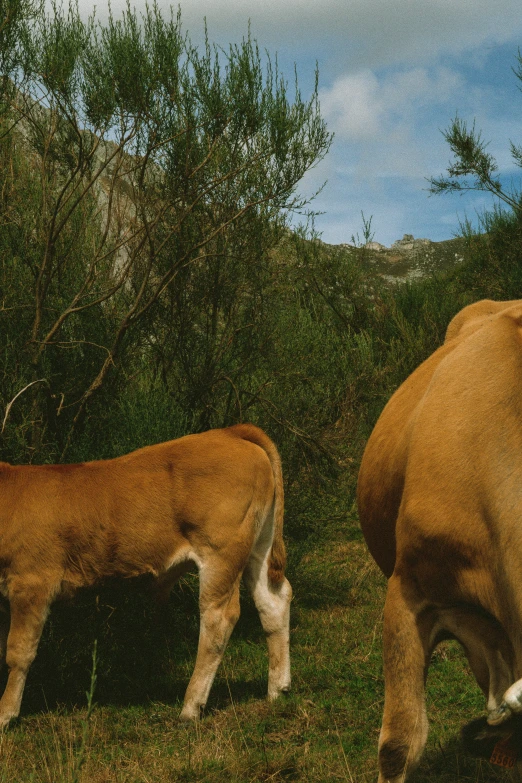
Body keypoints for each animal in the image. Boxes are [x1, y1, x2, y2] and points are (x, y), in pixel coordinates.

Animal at [0, 426, 290, 724]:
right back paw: (277, 689)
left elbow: (17, 652)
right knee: (273, 601)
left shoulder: (30, 583)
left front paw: (6, 713)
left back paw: (191, 706)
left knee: (218, 619)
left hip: (220, 554)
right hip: (259, 546)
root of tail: (229, 432)